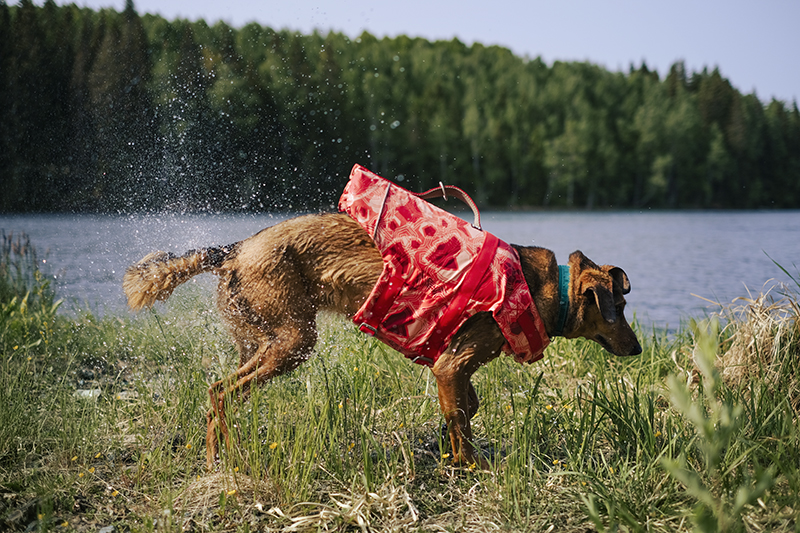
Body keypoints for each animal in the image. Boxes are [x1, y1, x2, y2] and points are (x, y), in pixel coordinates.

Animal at [122, 210, 640, 468]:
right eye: (620, 310)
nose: (637, 349)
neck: (543, 289)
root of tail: (234, 248)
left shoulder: (451, 368)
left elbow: (465, 409)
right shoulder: (452, 364)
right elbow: (463, 428)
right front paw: (469, 469)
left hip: (260, 340)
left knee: (217, 391)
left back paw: (221, 457)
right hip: (293, 340)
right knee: (221, 392)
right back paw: (221, 460)